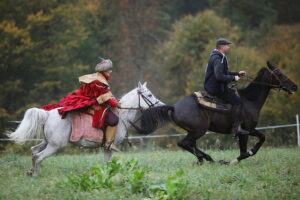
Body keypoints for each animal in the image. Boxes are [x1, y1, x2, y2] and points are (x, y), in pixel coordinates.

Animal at [7, 82, 162, 176]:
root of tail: (48, 114)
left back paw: (31, 171)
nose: (161, 106)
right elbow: (107, 163)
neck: (122, 115)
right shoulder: (109, 147)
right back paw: (36, 175)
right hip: (55, 146)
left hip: (47, 142)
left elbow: (106, 164)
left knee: (34, 152)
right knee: (39, 157)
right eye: (149, 95)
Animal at [132, 62, 298, 164]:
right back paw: (205, 158)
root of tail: (174, 107)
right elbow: (248, 149)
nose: (294, 86)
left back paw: (205, 158)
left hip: (194, 131)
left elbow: (257, 141)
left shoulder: (249, 130)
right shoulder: (246, 130)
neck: (249, 100)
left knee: (190, 144)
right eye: (280, 74)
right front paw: (231, 161)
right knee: (184, 143)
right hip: (199, 130)